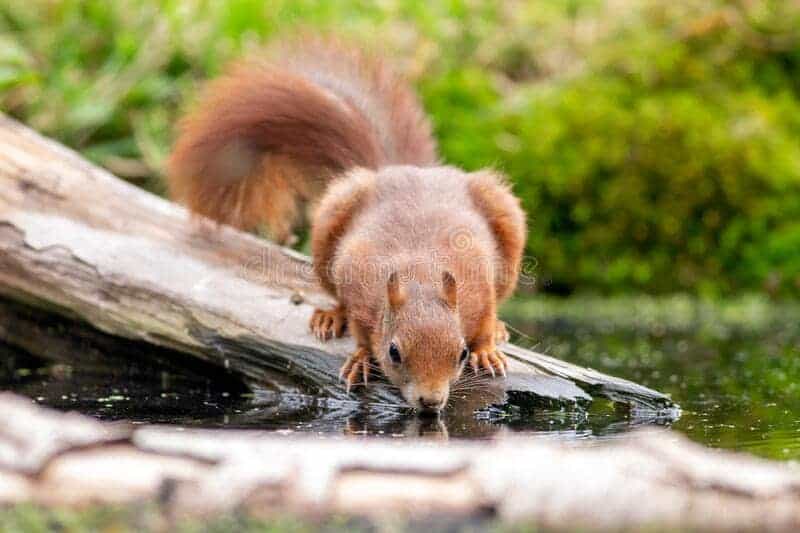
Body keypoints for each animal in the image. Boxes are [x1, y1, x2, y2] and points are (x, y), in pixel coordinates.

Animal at [169, 37, 524, 412]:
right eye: (394, 352)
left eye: (460, 353)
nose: (430, 401)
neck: (421, 276)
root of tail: (397, 170)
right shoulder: (359, 278)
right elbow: (360, 328)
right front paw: (361, 356)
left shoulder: (479, 281)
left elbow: (483, 320)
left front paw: (486, 349)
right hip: (331, 222)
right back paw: (330, 316)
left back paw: (499, 329)